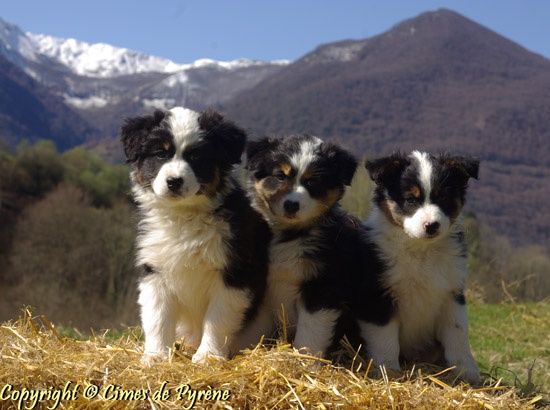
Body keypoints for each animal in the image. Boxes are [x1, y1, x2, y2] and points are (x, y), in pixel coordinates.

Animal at [119, 107, 270, 364]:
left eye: (196, 157)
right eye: (160, 154)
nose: (174, 181)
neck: (184, 216)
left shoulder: (234, 273)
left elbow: (217, 319)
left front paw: (209, 356)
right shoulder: (154, 270)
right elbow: (157, 318)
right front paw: (156, 355)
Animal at [240, 134, 362, 356]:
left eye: (313, 181)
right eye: (280, 176)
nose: (291, 205)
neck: (290, 235)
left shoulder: (322, 286)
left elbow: (310, 333)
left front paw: (304, 359)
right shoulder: (263, 288)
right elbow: (253, 330)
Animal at [358, 151, 484, 384]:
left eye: (443, 197)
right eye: (410, 199)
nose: (431, 225)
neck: (421, 251)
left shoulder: (452, 292)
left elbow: (458, 332)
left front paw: (466, 370)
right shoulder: (378, 294)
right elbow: (385, 337)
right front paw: (388, 371)